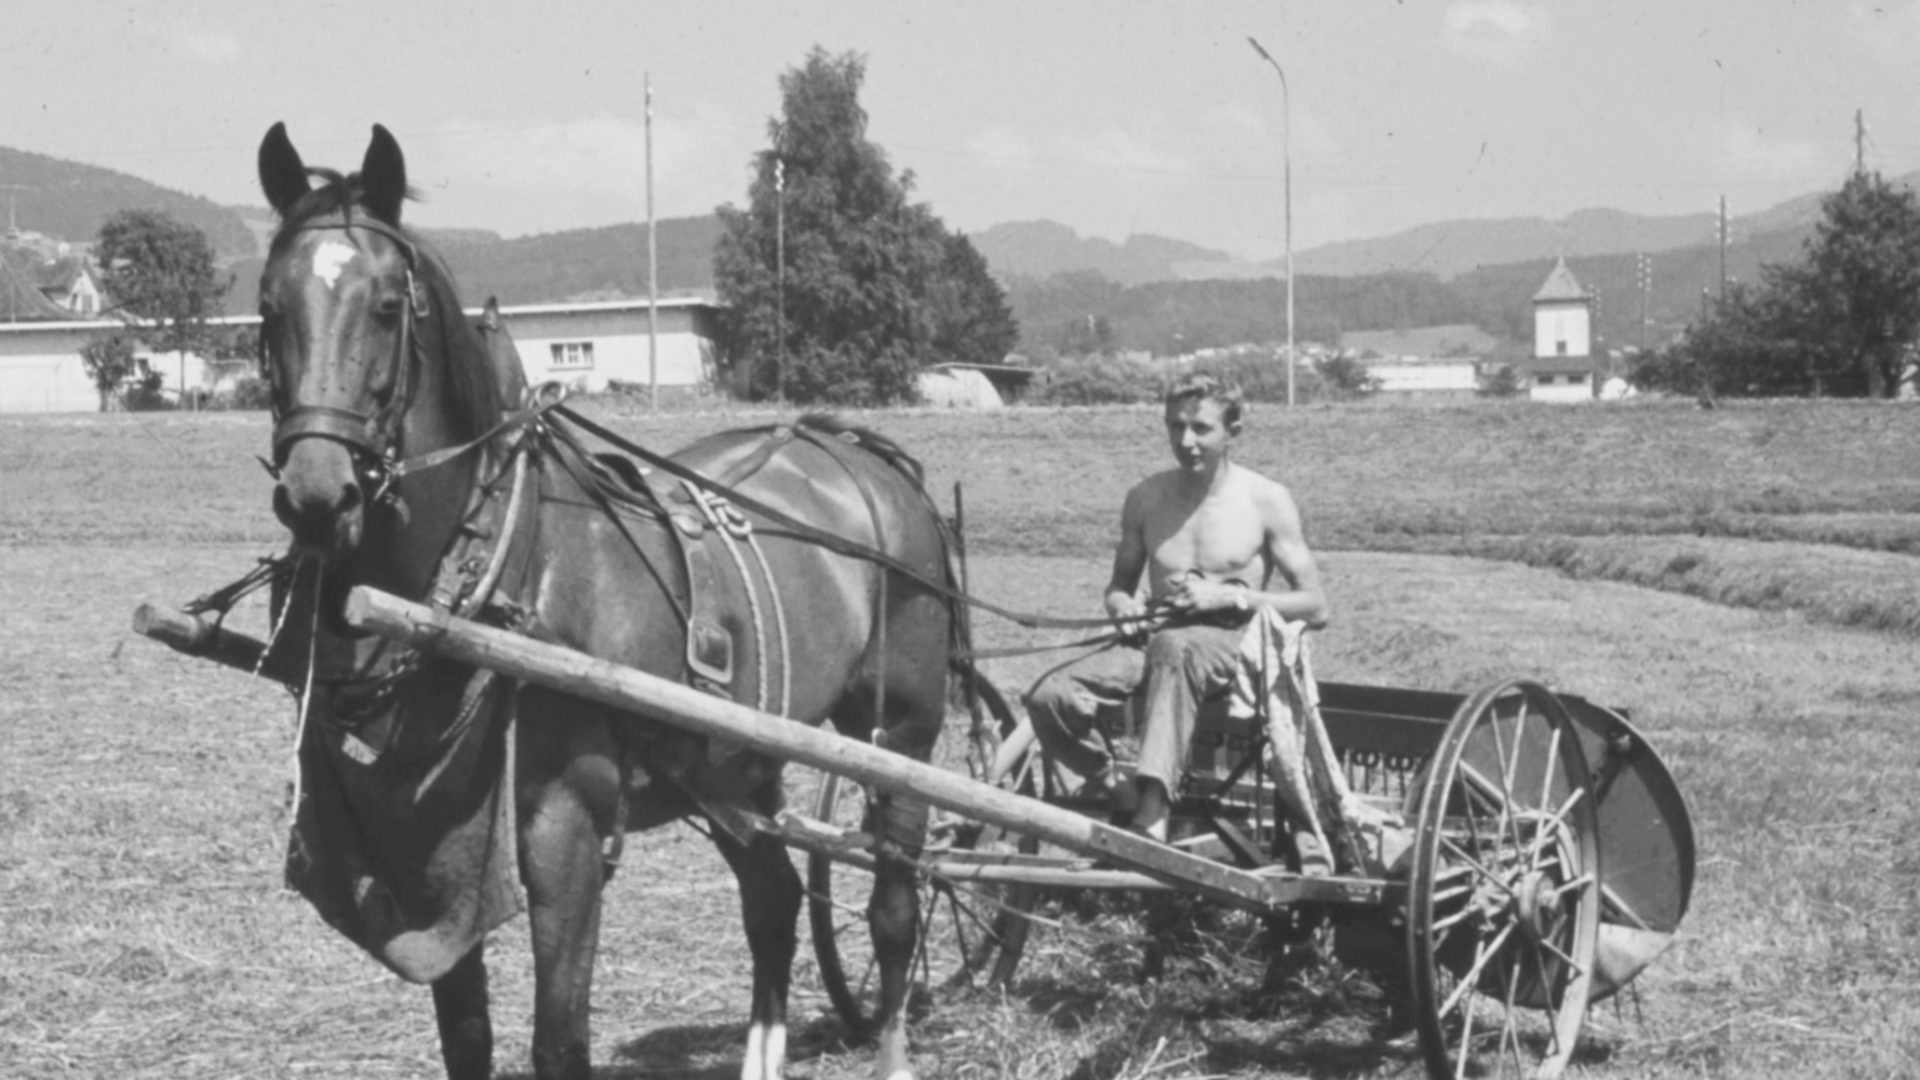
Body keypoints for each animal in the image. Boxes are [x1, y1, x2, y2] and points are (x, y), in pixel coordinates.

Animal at [255, 119, 960, 1076]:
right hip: (733, 761)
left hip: (902, 735)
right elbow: (466, 1038)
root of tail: (861, 456)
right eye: (268, 306)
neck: (501, 566)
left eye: (389, 307)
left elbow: (560, 1040)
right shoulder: (440, 855)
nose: (317, 494)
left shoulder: (567, 833)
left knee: (892, 908)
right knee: (774, 902)